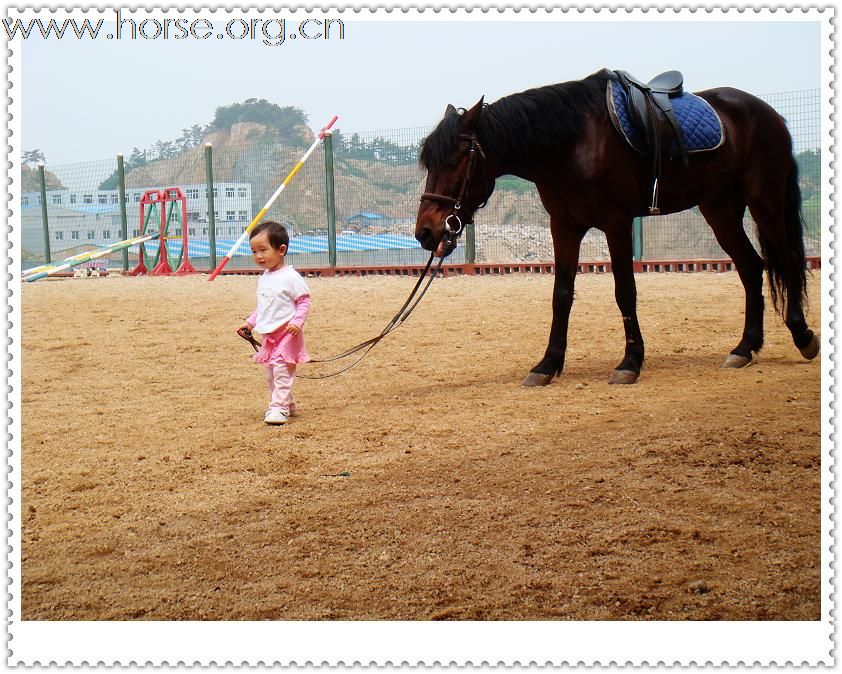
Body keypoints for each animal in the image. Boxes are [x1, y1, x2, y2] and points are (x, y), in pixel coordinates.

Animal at [416, 69, 816, 386]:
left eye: (455, 159)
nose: (426, 232)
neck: (572, 143)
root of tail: (770, 114)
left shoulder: (616, 223)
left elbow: (625, 291)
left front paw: (630, 362)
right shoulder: (564, 226)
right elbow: (561, 295)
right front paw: (547, 364)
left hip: (764, 202)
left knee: (785, 258)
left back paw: (802, 335)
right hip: (720, 209)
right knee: (751, 267)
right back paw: (745, 348)